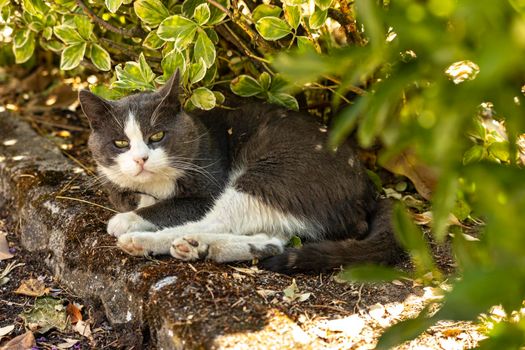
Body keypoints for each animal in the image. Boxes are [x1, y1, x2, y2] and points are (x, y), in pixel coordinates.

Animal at [78, 71, 402, 274]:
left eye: (157, 136)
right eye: (120, 143)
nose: (141, 159)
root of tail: (368, 191)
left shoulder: (207, 183)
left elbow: (171, 207)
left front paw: (129, 219)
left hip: (275, 175)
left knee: (218, 220)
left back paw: (148, 241)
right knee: (274, 239)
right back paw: (203, 247)